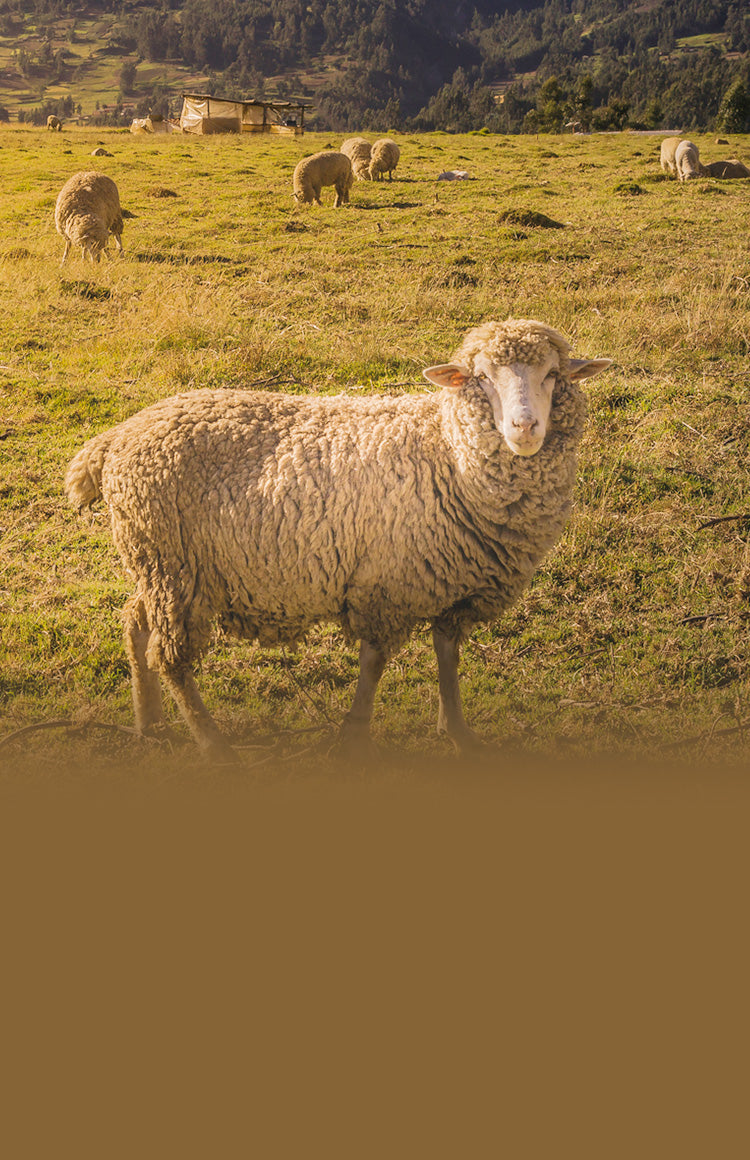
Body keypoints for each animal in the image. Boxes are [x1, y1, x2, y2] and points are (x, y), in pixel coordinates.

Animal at [64, 322, 612, 765]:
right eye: (481, 378)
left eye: (552, 374)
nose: (525, 426)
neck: (448, 452)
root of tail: (115, 439)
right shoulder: (387, 585)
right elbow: (373, 664)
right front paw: (354, 738)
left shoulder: (454, 587)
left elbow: (447, 657)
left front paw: (458, 732)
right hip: (173, 567)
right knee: (171, 657)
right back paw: (213, 745)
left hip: (159, 565)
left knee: (134, 622)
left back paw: (149, 724)